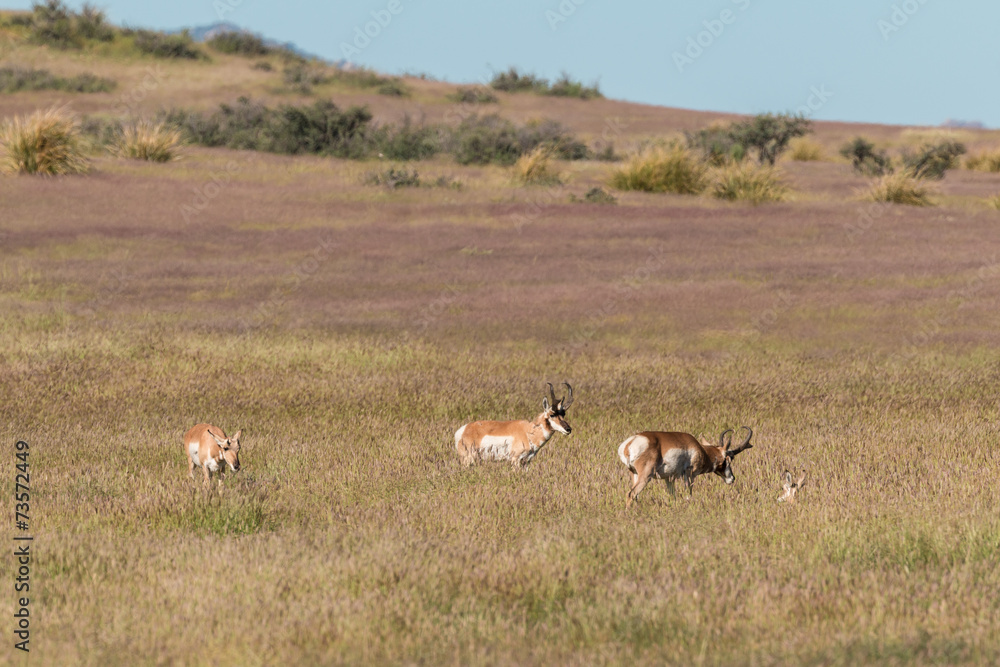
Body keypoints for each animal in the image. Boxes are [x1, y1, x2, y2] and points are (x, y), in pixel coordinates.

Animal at [617, 426, 753, 507]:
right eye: (729, 459)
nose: (732, 478)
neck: (700, 449)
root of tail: (629, 443)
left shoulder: (669, 478)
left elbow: (673, 495)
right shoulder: (689, 474)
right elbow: (689, 493)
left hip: (634, 474)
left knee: (635, 496)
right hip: (645, 476)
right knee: (631, 493)